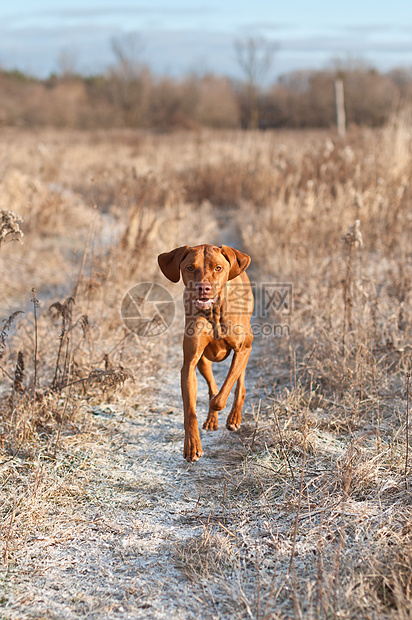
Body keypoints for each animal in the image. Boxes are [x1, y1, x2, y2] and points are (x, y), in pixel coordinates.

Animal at [159, 245, 253, 462]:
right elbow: (190, 411)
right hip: (203, 362)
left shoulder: (243, 349)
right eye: (190, 267)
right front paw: (192, 446)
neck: (214, 312)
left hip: (246, 348)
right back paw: (212, 419)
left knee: (240, 384)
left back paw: (234, 417)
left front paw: (219, 407)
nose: (204, 288)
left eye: (218, 268)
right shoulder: (189, 364)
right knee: (212, 384)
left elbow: (221, 396)